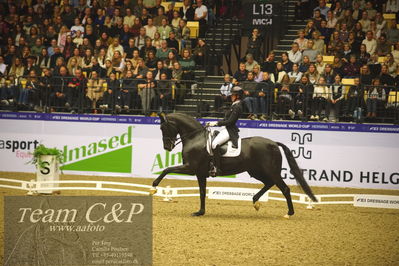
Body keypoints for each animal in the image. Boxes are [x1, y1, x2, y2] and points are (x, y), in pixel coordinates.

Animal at [152, 113, 318, 217]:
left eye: (163, 128)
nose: (167, 147)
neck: (195, 138)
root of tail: (274, 143)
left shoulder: (190, 167)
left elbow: (167, 169)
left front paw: (153, 187)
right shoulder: (200, 173)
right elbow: (202, 193)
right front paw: (200, 212)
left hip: (270, 171)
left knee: (284, 188)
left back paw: (289, 213)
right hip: (256, 171)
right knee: (269, 183)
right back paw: (255, 201)